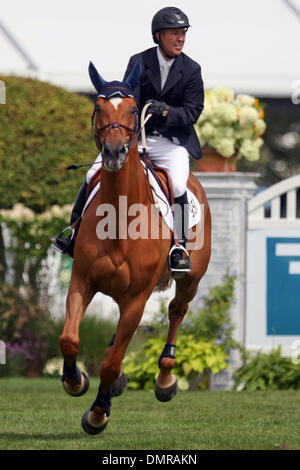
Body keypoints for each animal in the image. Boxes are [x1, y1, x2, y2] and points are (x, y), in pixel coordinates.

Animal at [59, 61, 211, 434]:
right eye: (98, 108)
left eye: (132, 108)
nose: (114, 154)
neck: (121, 217)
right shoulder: (82, 281)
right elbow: (70, 340)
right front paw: (76, 381)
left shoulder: (137, 298)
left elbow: (111, 364)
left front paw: (97, 415)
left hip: (190, 280)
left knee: (177, 310)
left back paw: (165, 379)